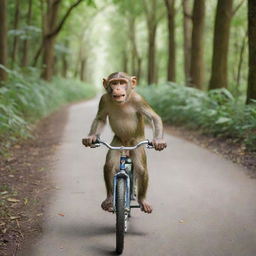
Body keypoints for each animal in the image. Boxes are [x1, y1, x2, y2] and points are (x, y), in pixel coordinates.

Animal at [81, 72, 166, 214]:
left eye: (122, 82)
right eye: (114, 83)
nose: (118, 88)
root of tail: (126, 145)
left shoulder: (138, 99)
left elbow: (154, 117)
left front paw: (158, 141)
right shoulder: (104, 99)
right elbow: (100, 119)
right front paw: (91, 137)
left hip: (136, 143)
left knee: (141, 169)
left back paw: (142, 200)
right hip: (118, 142)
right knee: (109, 165)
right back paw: (109, 199)